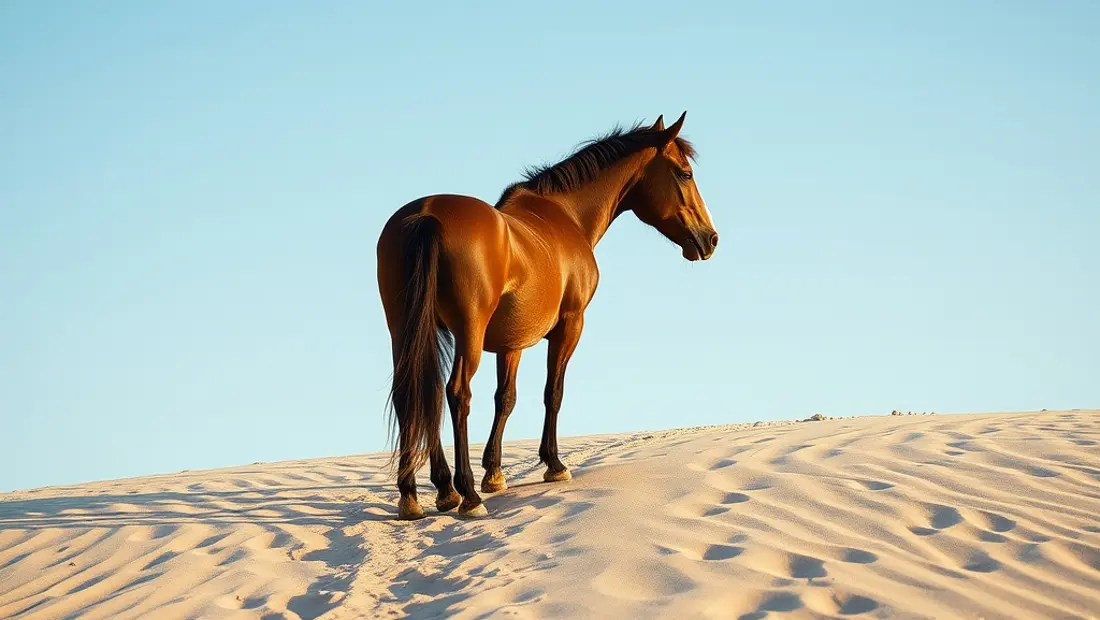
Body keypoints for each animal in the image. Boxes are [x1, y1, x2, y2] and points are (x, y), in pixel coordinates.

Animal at [376, 111, 718, 520]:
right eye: (684, 173)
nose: (710, 239)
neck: (565, 216)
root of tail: (427, 213)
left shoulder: (511, 343)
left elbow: (506, 398)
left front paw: (494, 473)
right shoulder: (569, 325)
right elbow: (553, 391)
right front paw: (553, 465)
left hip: (406, 330)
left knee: (413, 394)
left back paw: (423, 494)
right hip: (467, 332)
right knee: (456, 393)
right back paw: (467, 495)